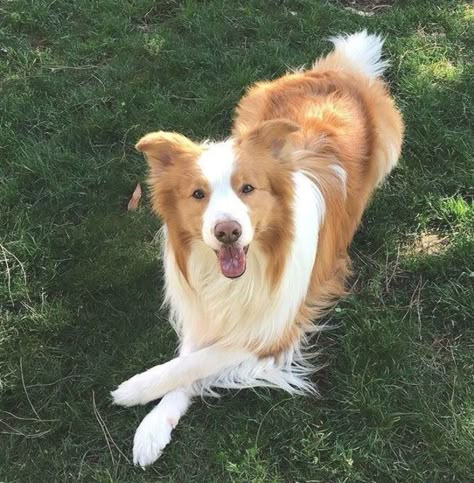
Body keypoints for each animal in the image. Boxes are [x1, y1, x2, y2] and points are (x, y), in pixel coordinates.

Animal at [112, 29, 404, 466]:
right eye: (197, 194)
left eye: (247, 188)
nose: (227, 232)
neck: (244, 275)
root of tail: (339, 73)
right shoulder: (204, 309)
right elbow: (189, 358)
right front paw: (154, 426)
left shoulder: (276, 330)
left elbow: (199, 361)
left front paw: (135, 388)